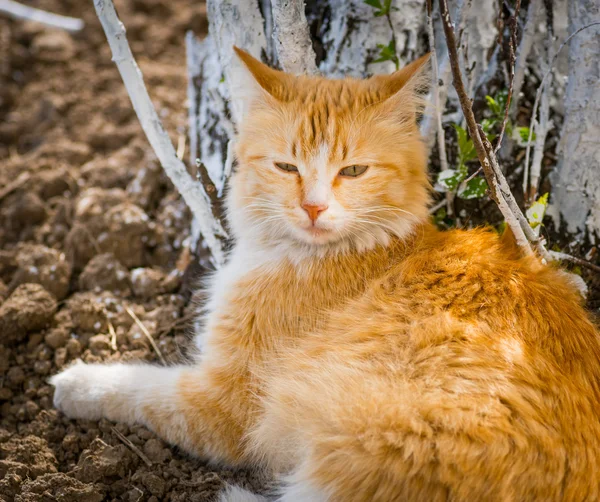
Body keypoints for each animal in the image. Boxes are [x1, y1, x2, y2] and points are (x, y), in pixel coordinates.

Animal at [50, 48, 600, 502]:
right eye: (286, 167)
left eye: (353, 171)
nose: (313, 207)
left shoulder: (225, 405)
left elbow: (141, 388)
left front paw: (78, 381)